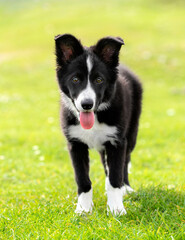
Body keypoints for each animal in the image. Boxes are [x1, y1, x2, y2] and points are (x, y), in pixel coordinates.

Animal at [54, 34, 142, 216]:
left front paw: (116, 209)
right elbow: (82, 179)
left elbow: (115, 177)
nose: (87, 104)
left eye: (99, 80)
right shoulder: (75, 144)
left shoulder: (116, 142)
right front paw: (83, 210)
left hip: (131, 135)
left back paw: (126, 188)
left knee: (125, 162)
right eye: (75, 79)